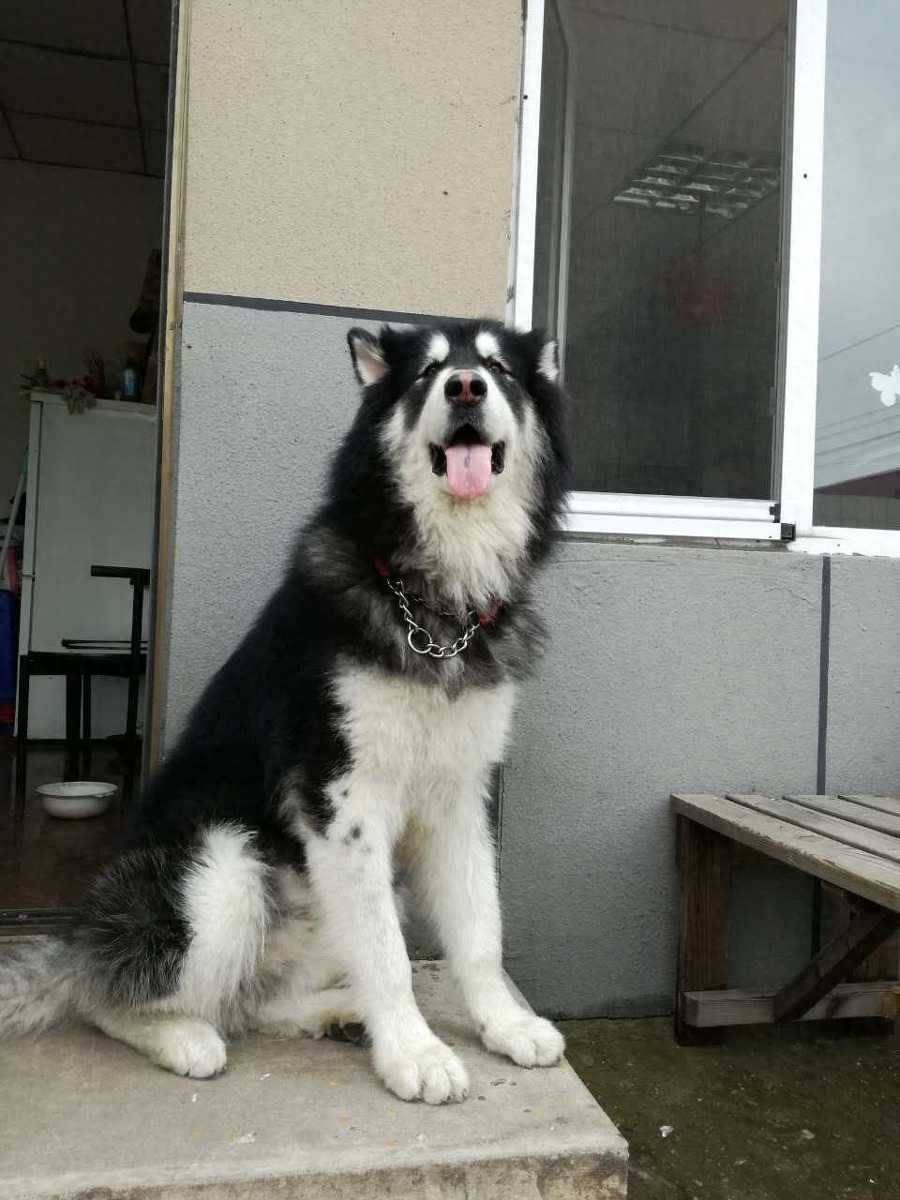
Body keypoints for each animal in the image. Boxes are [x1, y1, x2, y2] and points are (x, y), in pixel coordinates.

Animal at [0, 319, 569, 1104]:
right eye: (427, 373)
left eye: (497, 367)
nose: (464, 387)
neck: (434, 606)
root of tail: (82, 931)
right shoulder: (343, 799)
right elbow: (391, 959)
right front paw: (415, 1053)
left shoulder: (458, 798)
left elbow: (480, 931)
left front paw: (503, 1025)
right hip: (224, 867)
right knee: (111, 995)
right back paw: (184, 1036)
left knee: (251, 999)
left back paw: (338, 1014)